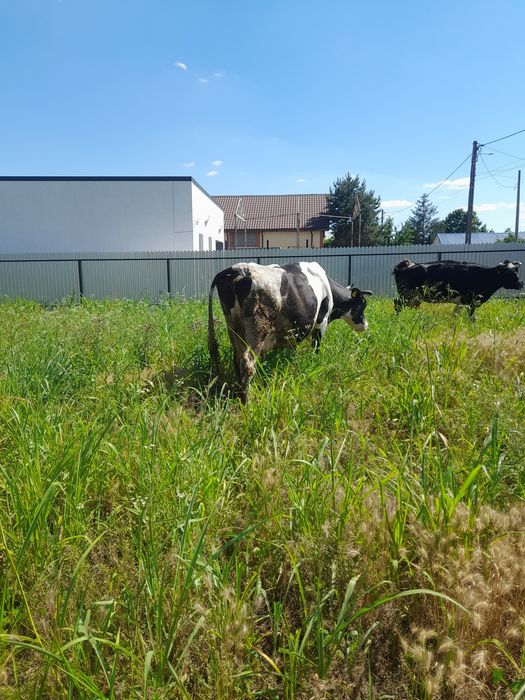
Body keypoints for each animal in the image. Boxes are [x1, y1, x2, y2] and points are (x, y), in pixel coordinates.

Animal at [208, 261, 371, 402]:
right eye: (363, 304)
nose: (366, 325)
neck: (328, 288)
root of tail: (237, 269)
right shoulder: (321, 324)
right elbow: (316, 350)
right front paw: (315, 365)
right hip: (257, 329)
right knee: (247, 364)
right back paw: (246, 401)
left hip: (234, 328)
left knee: (237, 359)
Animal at [393, 258, 523, 316]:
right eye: (508, 273)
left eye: (516, 270)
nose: (521, 283)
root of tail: (409, 265)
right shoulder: (470, 301)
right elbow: (472, 317)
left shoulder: (462, 302)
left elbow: (456, 314)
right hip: (407, 294)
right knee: (397, 304)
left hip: (415, 298)